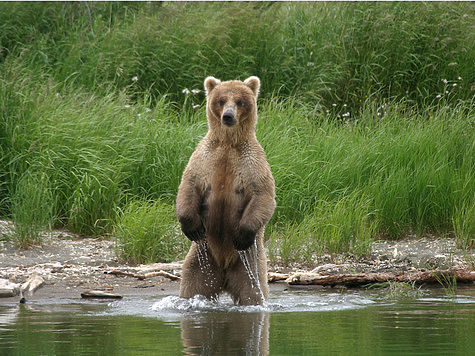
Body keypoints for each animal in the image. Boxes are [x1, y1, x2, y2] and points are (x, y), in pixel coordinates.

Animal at [177, 75, 278, 306]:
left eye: (239, 101)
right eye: (221, 100)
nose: (228, 116)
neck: (229, 143)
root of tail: (223, 274)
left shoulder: (252, 164)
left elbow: (264, 196)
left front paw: (242, 234)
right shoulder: (204, 159)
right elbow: (188, 186)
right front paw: (192, 228)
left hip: (249, 264)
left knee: (252, 292)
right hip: (201, 259)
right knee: (192, 285)